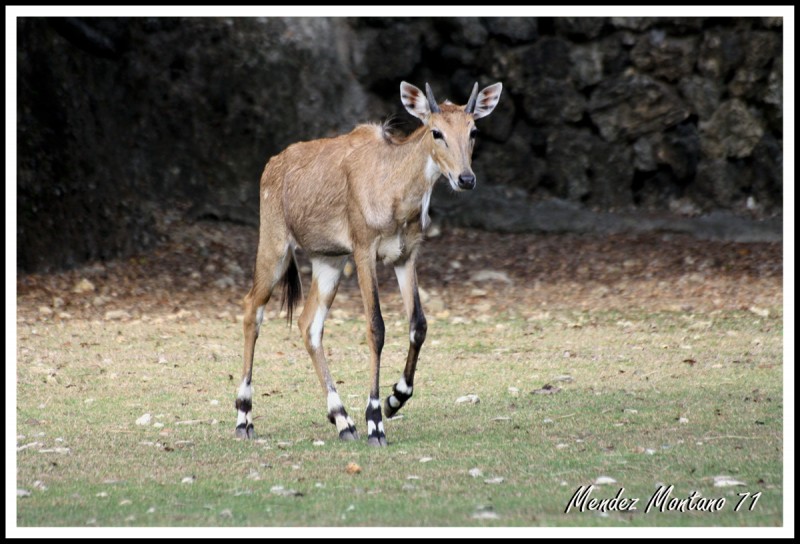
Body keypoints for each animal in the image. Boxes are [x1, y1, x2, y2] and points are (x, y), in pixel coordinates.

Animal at [234, 81, 504, 446]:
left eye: (473, 130)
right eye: (436, 132)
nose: (465, 179)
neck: (395, 187)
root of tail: (272, 165)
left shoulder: (406, 256)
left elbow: (419, 324)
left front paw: (395, 398)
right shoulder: (364, 252)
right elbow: (376, 327)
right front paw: (375, 420)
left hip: (329, 261)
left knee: (308, 325)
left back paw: (342, 419)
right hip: (275, 247)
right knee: (253, 309)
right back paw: (244, 417)